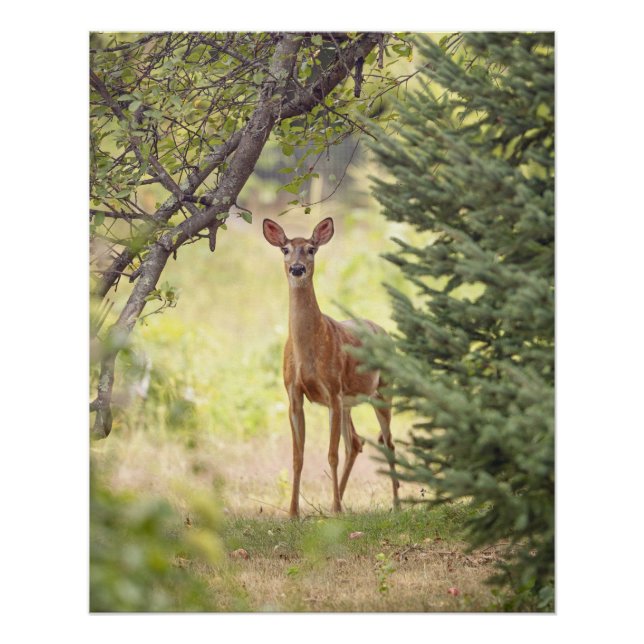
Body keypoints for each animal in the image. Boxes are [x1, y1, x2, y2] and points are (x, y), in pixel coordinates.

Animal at [263, 216, 400, 518]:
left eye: (311, 249)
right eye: (285, 249)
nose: (297, 268)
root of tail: (384, 332)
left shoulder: (333, 389)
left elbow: (331, 454)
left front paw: (335, 509)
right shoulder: (294, 394)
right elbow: (298, 456)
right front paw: (293, 512)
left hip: (383, 391)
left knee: (388, 443)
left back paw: (394, 503)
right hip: (349, 401)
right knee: (356, 442)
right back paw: (339, 502)